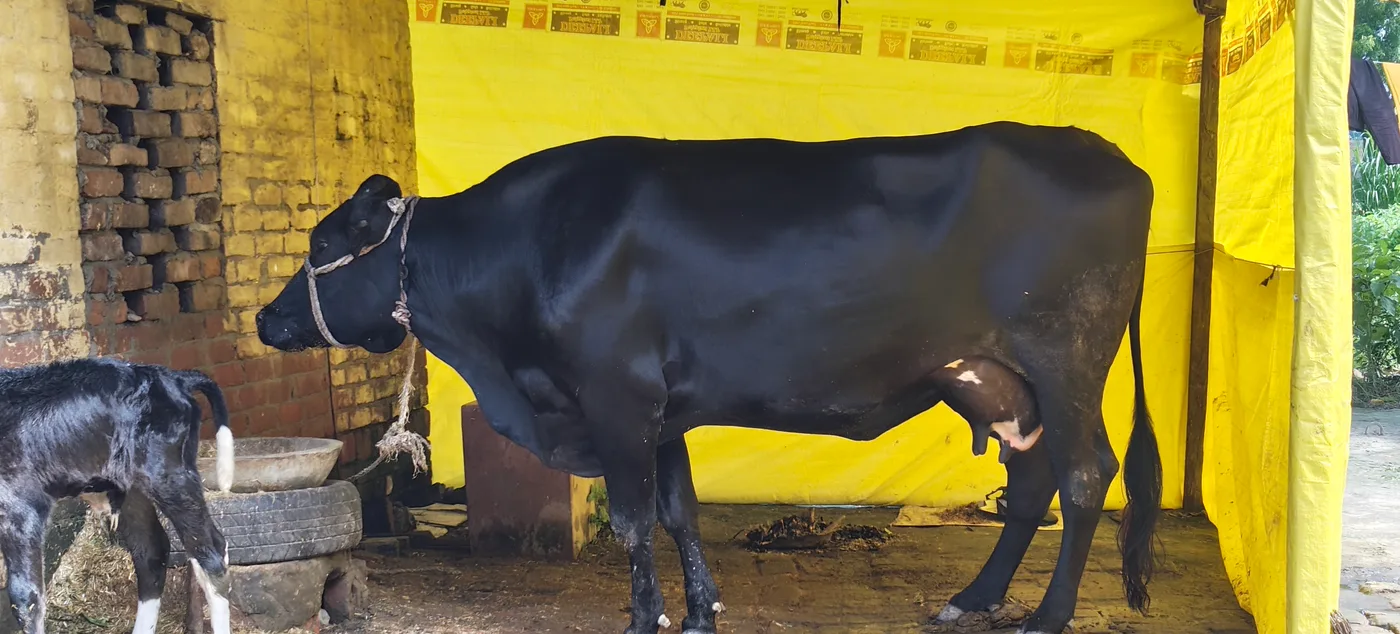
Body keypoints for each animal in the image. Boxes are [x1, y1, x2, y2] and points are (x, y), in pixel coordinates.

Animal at [0, 358, 236, 634]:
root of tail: (173, 377)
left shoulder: (20, 507)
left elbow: (25, 598)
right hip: (133, 488)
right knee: (152, 551)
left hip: (169, 475)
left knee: (210, 553)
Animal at [256, 121, 1162, 634]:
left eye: (320, 243)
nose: (266, 319)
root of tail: (1114, 158)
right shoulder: (662, 411)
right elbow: (679, 511)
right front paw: (698, 610)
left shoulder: (616, 397)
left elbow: (633, 523)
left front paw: (644, 616)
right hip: (997, 378)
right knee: (1034, 479)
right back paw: (974, 598)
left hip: (1065, 358)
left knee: (1085, 477)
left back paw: (1045, 618)